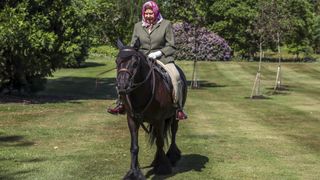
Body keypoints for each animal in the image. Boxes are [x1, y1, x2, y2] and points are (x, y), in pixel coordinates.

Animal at [115, 39, 189, 180]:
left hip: (174, 116)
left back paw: (172, 156)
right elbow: (134, 147)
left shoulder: (159, 120)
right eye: (117, 61)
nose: (122, 86)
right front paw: (134, 172)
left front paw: (163, 167)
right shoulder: (132, 119)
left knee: (173, 132)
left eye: (135, 63)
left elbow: (160, 142)